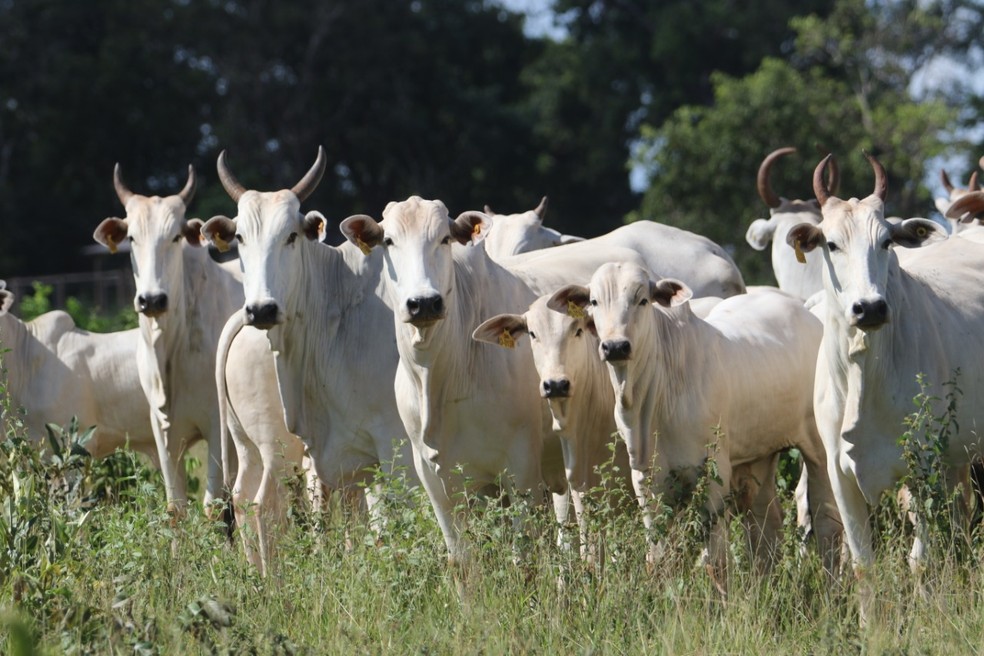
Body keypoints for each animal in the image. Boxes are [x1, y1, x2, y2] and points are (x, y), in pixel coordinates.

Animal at [92, 164, 244, 512]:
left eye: (175, 236)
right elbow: (177, 507)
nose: (152, 300)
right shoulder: (163, 431)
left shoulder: (216, 427)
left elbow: (212, 503)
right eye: (131, 237)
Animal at [788, 150, 984, 624]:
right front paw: (870, 627)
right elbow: (863, 565)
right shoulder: (839, 475)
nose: (870, 308)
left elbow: (922, 560)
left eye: (887, 243)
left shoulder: (923, 467)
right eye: (831, 244)